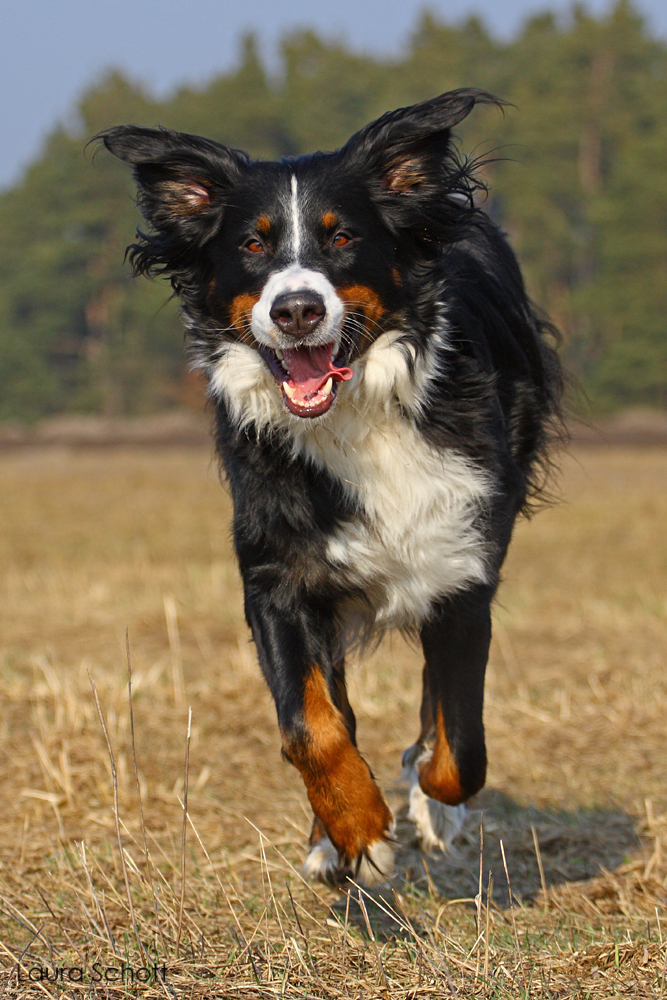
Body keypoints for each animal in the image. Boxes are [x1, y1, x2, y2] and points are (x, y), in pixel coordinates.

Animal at [100, 86, 564, 884]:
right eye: (252, 246)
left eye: (342, 236)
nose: (296, 310)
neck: (357, 419)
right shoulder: (280, 575)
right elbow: (312, 725)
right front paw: (353, 830)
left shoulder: (459, 566)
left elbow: (459, 745)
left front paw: (427, 804)